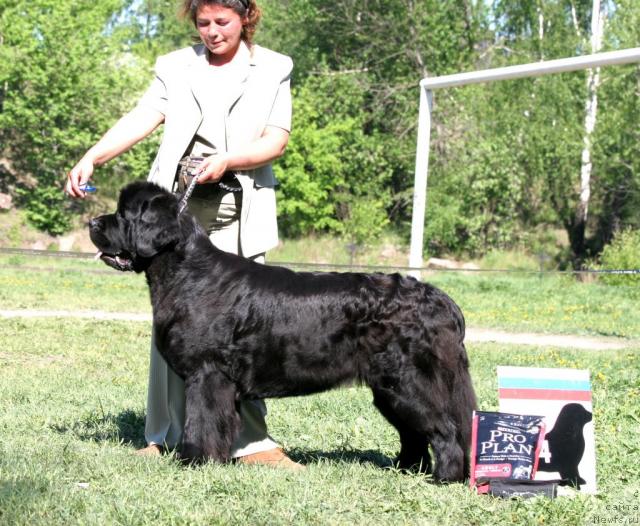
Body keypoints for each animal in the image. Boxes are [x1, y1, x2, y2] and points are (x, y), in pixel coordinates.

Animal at [91, 183, 480, 482]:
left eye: (124, 214)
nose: (92, 221)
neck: (187, 273)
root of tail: (442, 301)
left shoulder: (208, 375)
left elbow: (201, 422)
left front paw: (195, 462)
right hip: (389, 389)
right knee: (414, 435)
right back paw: (406, 470)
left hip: (410, 382)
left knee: (445, 430)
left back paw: (444, 478)